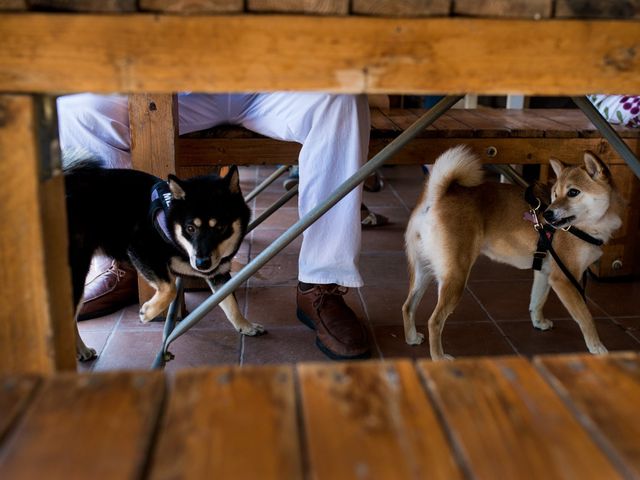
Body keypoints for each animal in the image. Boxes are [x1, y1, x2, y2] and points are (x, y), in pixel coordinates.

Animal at [65, 159, 262, 362]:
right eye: (190, 228)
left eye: (221, 227)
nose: (202, 263)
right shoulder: (140, 249)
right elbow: (170, 288)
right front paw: (148, 312)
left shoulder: (218, 272)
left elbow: (229, 302)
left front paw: (244, 325)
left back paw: (80, 350)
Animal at [402, 146, 624, 360]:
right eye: (555, 193)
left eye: (573, 192)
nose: (547, 214)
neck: (585, 226)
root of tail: (436, 196)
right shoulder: (564, 279)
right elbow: (585, 316)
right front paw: (597, 347)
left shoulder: (545, 272)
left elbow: (537, 300)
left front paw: (538, 322)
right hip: (456, 277)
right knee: (434, 321)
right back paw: (438, 358)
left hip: (424, 271)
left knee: (408, 306)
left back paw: (412, 338)